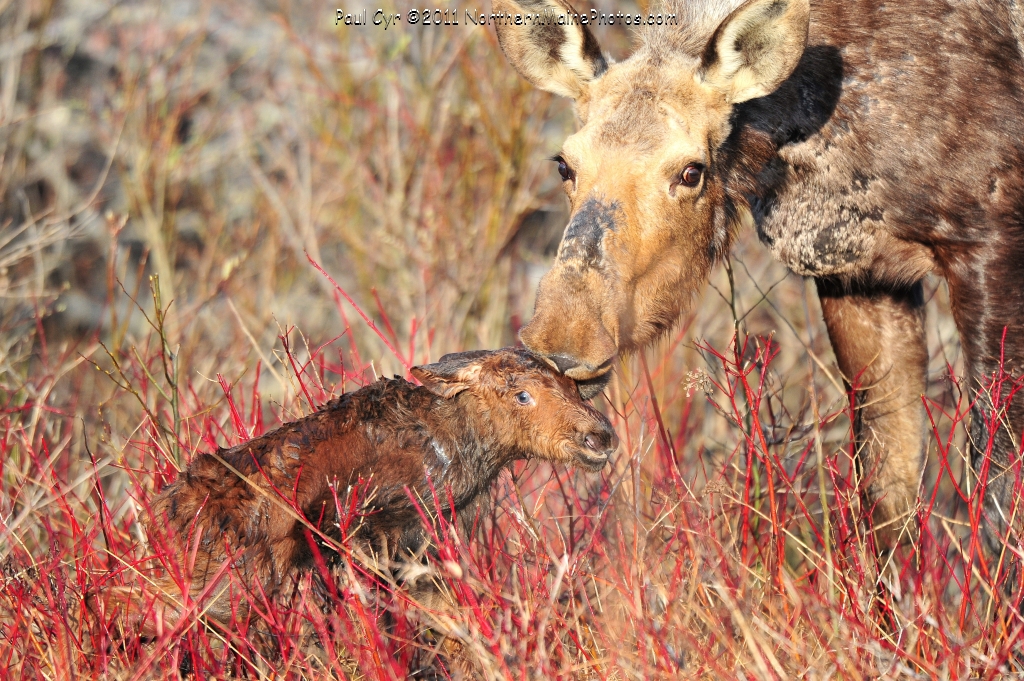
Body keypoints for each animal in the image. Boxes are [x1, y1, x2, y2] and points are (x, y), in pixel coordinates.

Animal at [97, 348, 614, 634]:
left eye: (574, 388)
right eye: (522, 395)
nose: (600, 436)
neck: (466, 453)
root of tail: (162, 513)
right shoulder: (384, 537)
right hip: (233, 583)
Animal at [493, 0, 1024, 548]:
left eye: (692, 172)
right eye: (564, 165)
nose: (563, 342)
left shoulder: (989, 244)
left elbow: (999, 499)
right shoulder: (862, 273)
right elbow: (886, 498)